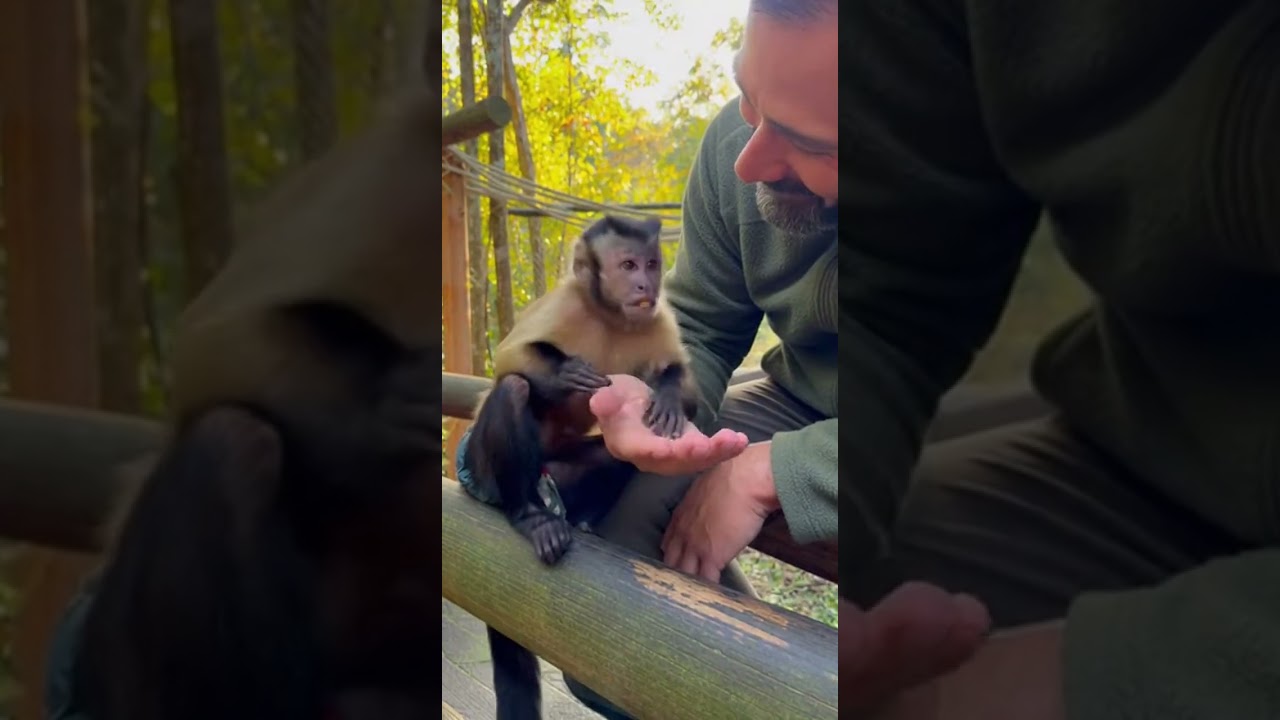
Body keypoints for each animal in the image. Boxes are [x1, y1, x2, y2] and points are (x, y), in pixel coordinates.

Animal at [457, 214, 700, 720]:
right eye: (627, 265)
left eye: (651, 263)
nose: (646, 284)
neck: (610, 316)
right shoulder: (566, 301)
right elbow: (509, 357)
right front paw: (563, 372)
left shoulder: (657, 317)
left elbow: (685, 393)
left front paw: (669, 395)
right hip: (480, 471)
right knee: (512, 389)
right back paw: (529, 516)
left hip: (556, 475)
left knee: (620, 450)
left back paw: (582, 518)